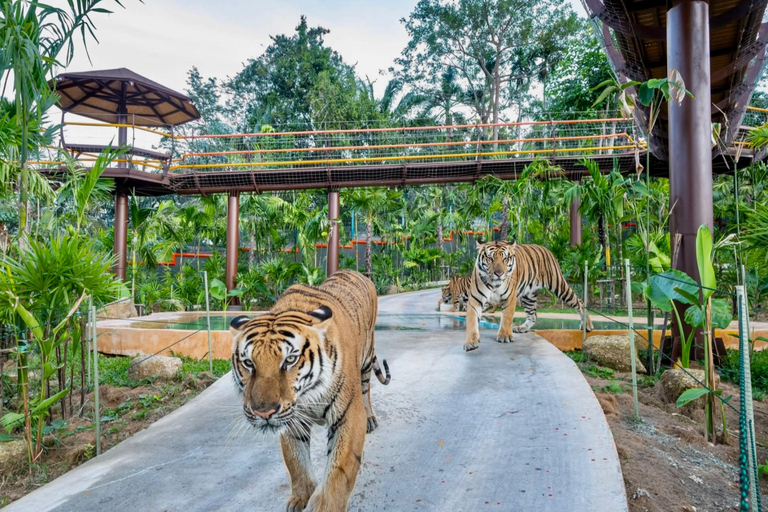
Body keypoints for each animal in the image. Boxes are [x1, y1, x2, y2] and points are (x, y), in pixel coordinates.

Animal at [229, 269, 390, 512]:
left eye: (290, 360)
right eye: (248, 363)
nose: (263, 412)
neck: (305, 395)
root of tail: (355, 271)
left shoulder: (348, 415)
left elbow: (339, 471)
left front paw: (325, 506)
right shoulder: (290, 420)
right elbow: (296, 461)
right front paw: (301, 498)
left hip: (365, 360)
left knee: (367, 389)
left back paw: (371, 418)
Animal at [464, 240, 593, 351]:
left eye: (505, 259)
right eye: (490, 258)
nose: (499, 273)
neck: (494, 284)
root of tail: (546, 248)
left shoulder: (509, 298)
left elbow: (506, 318)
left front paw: (504, 335)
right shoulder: (475, 300)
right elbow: (471, 321)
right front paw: (470, 342)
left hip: (559, 286)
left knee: (579, 302)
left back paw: (587, 325)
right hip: (528, 296)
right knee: (533, 315)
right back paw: (522, 328)